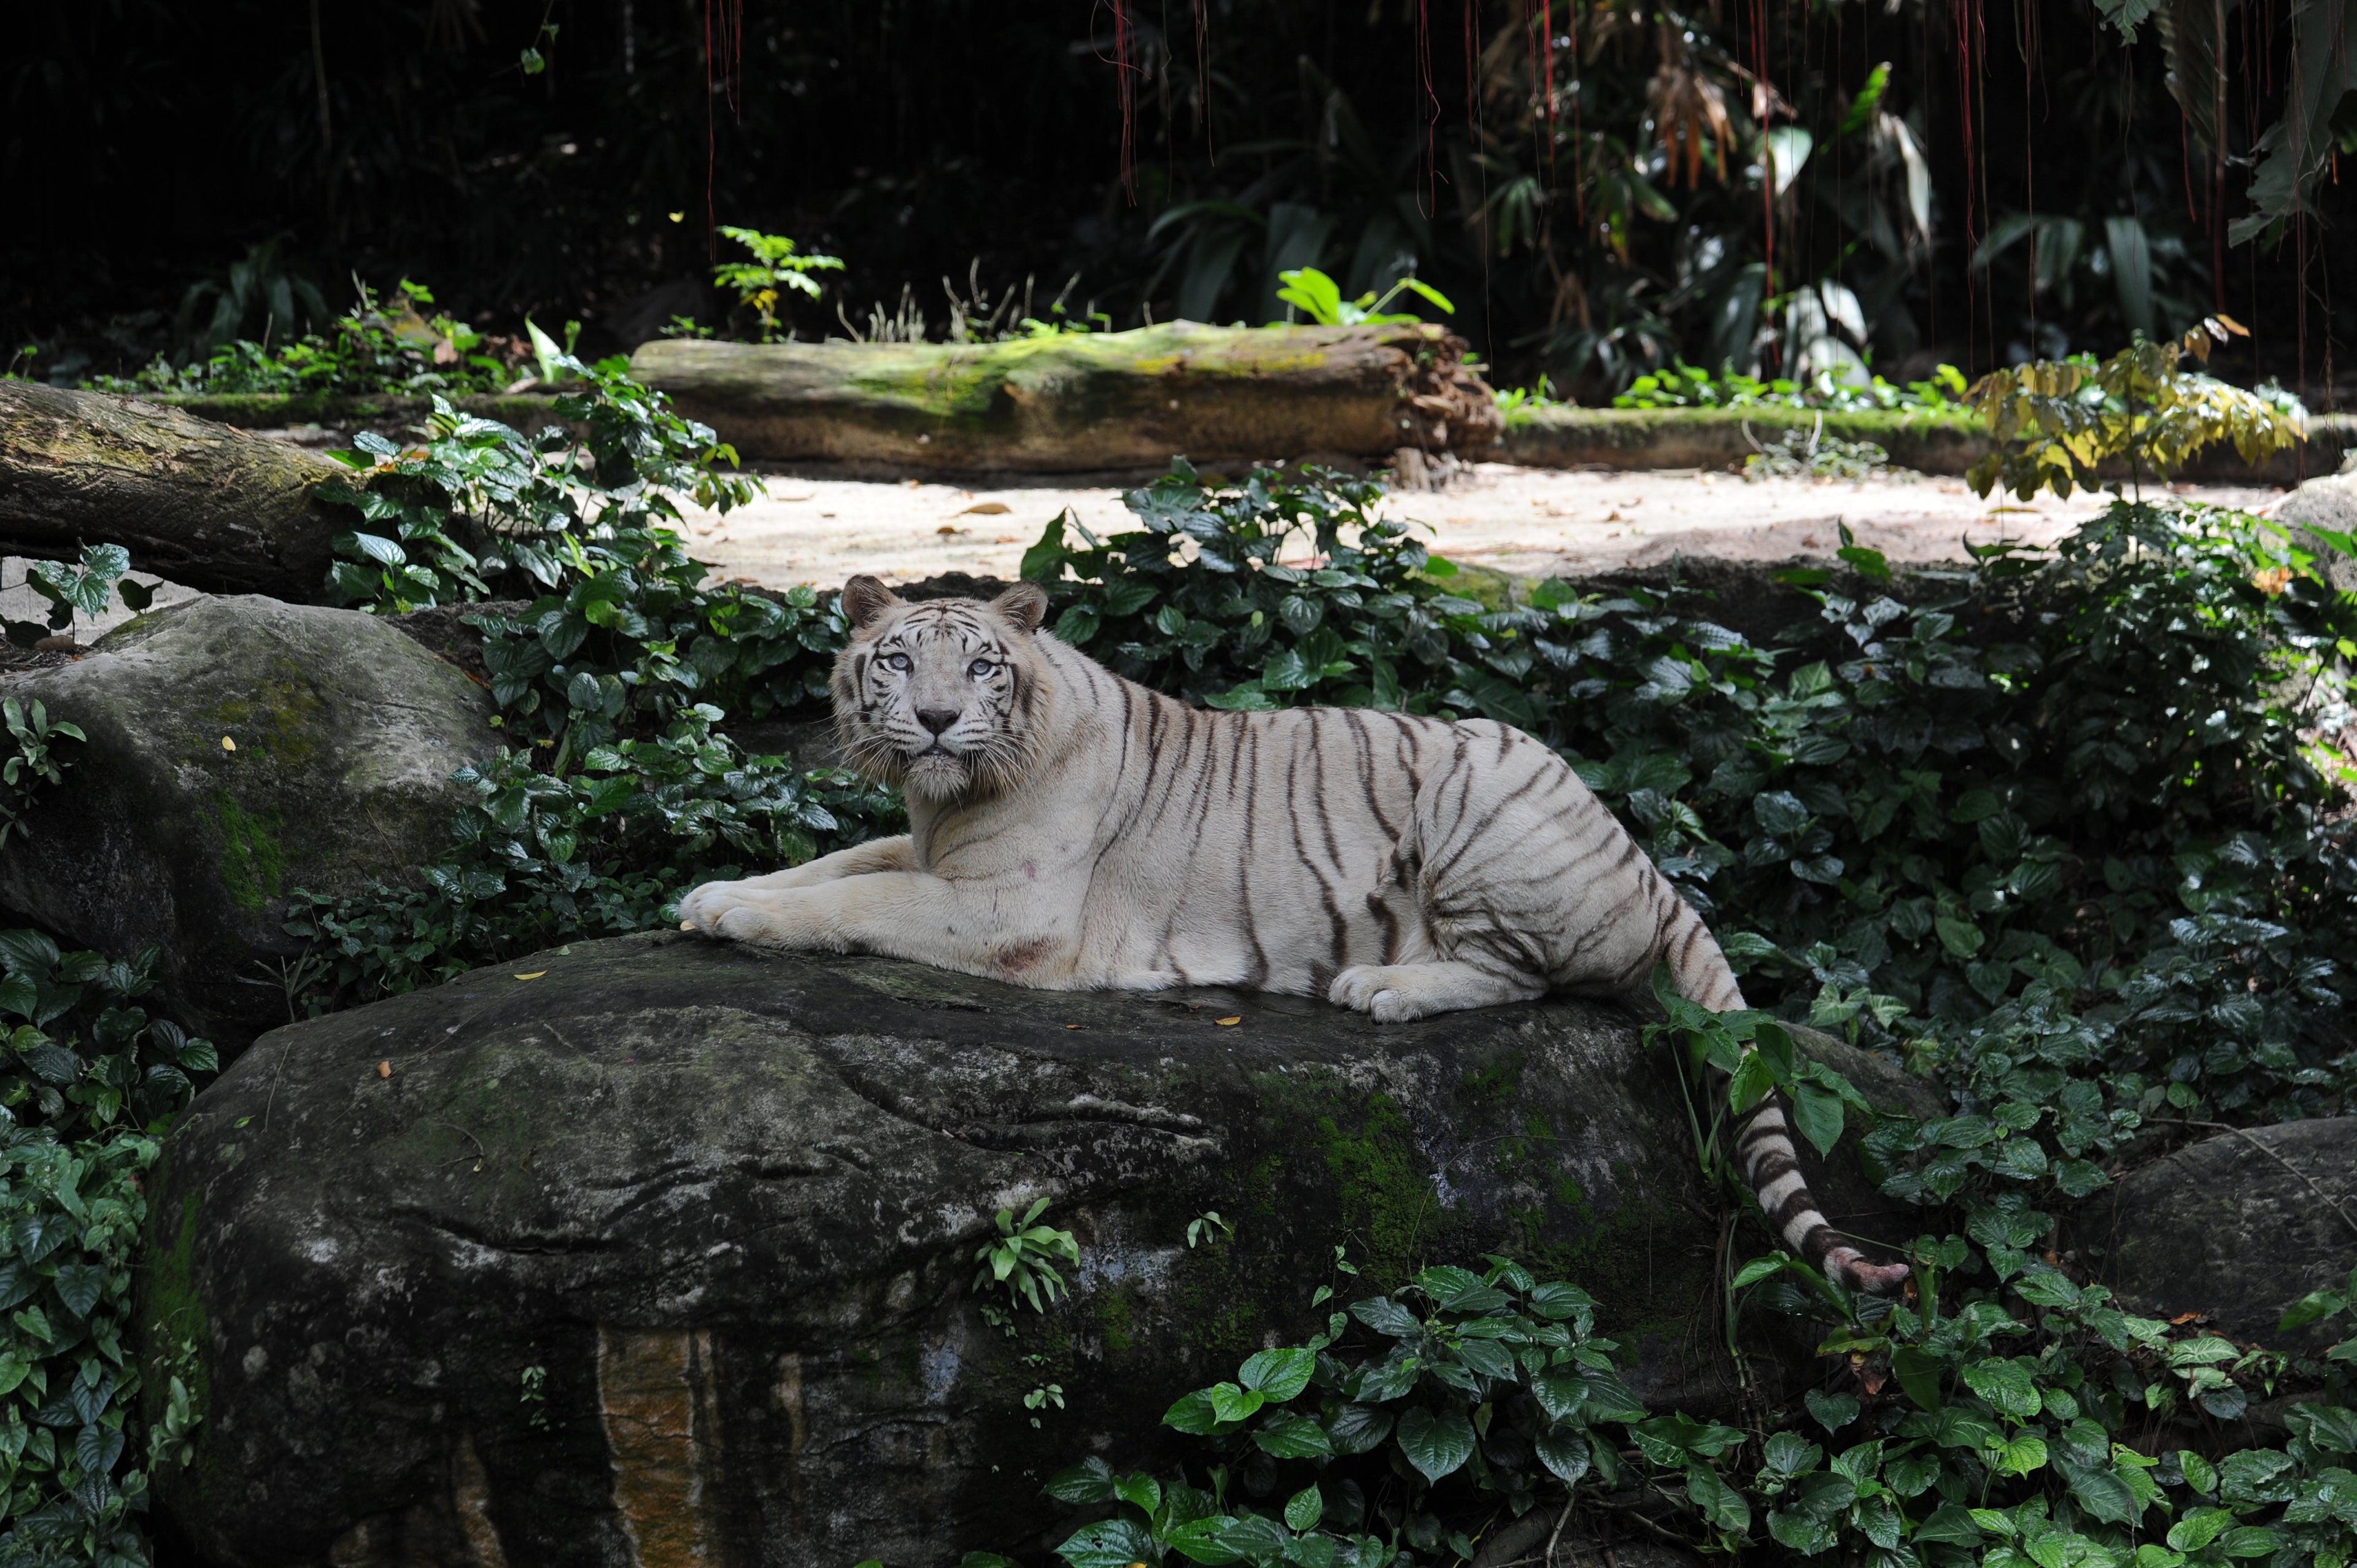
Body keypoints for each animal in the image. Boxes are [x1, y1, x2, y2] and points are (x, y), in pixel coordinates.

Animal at [678, 575, 1910, 1294]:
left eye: (980, 665)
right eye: (897, 659)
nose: (936, 720)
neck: (948, 799)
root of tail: (1649, 865)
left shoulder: (1008, 909)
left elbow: (856, 902)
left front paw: (741, 914)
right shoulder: (929, 850)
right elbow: (839, 862)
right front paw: (714, 889)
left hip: (1476, 793)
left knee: (1524, 978)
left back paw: (1388, 988)